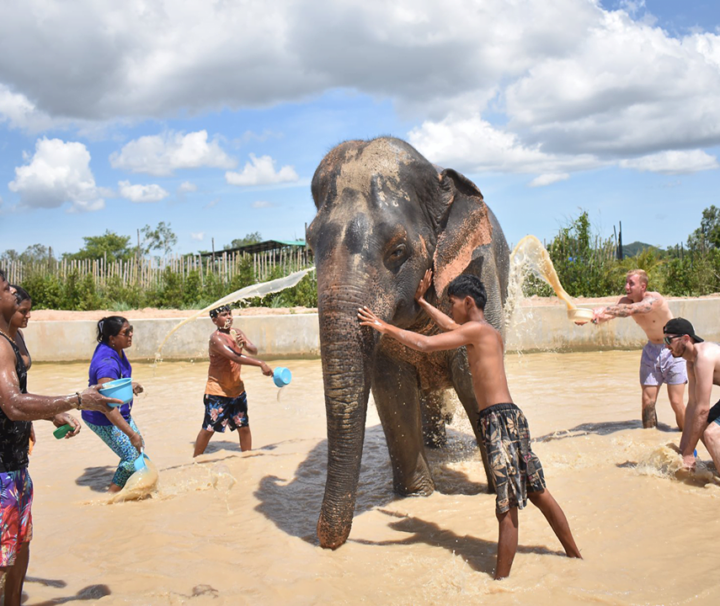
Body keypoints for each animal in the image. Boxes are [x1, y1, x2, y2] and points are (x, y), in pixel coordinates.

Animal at [306, 137, 510, 550]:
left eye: (397, 251)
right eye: (308, 246)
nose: (326, 542)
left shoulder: (480, 268)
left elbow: (472, 374)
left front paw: (495, 491)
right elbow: (391, 387)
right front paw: (418, 496)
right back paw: (435, 445)